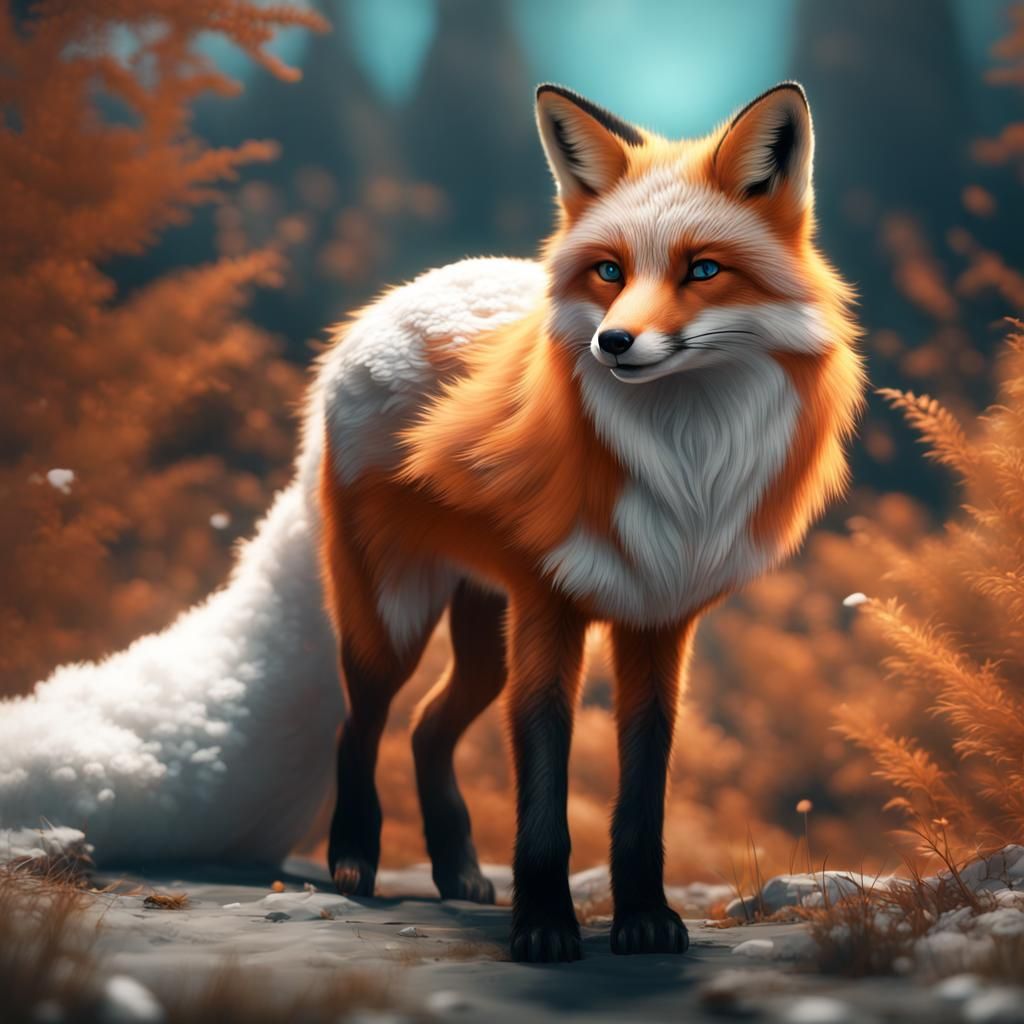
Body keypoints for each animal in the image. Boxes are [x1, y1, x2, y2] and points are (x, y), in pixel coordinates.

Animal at [314, 81, 865, 962]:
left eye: (703, 269)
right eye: (610, 271)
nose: (614, 341)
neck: (684, 465)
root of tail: (403, 296)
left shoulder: (660, 621)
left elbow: (642, 790)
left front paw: (645, 919)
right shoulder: (549, 608)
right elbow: (543, 784)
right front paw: (542, 925)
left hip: (482, 634)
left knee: (429, 729)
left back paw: (457, 871)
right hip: (393, 615)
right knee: (360, 724)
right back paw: (353, 858)